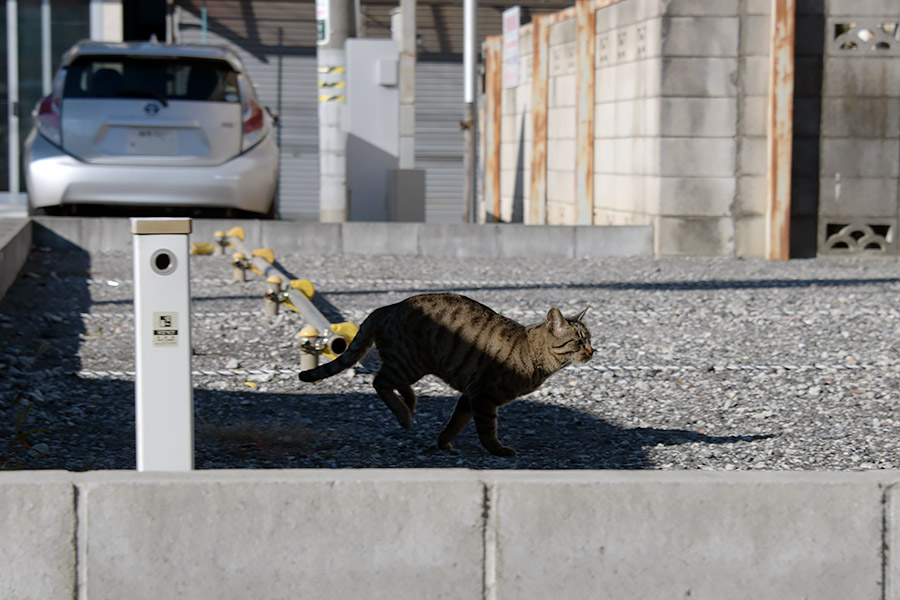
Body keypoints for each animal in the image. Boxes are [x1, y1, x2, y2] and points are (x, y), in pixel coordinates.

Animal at [298, 292, 596, 458]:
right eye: (579, 342)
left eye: (590, 339)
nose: (593, 351)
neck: (531, 353)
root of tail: (388, 306)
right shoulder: (484, 398)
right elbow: (487, 431)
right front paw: (499, 451)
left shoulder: (470, 396)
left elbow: (456, 422)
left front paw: (443, 442)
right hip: (409, 361)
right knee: (379, 381)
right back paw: (404, 416)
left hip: (410, 364)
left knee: (394, 383)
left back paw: (410, 404)